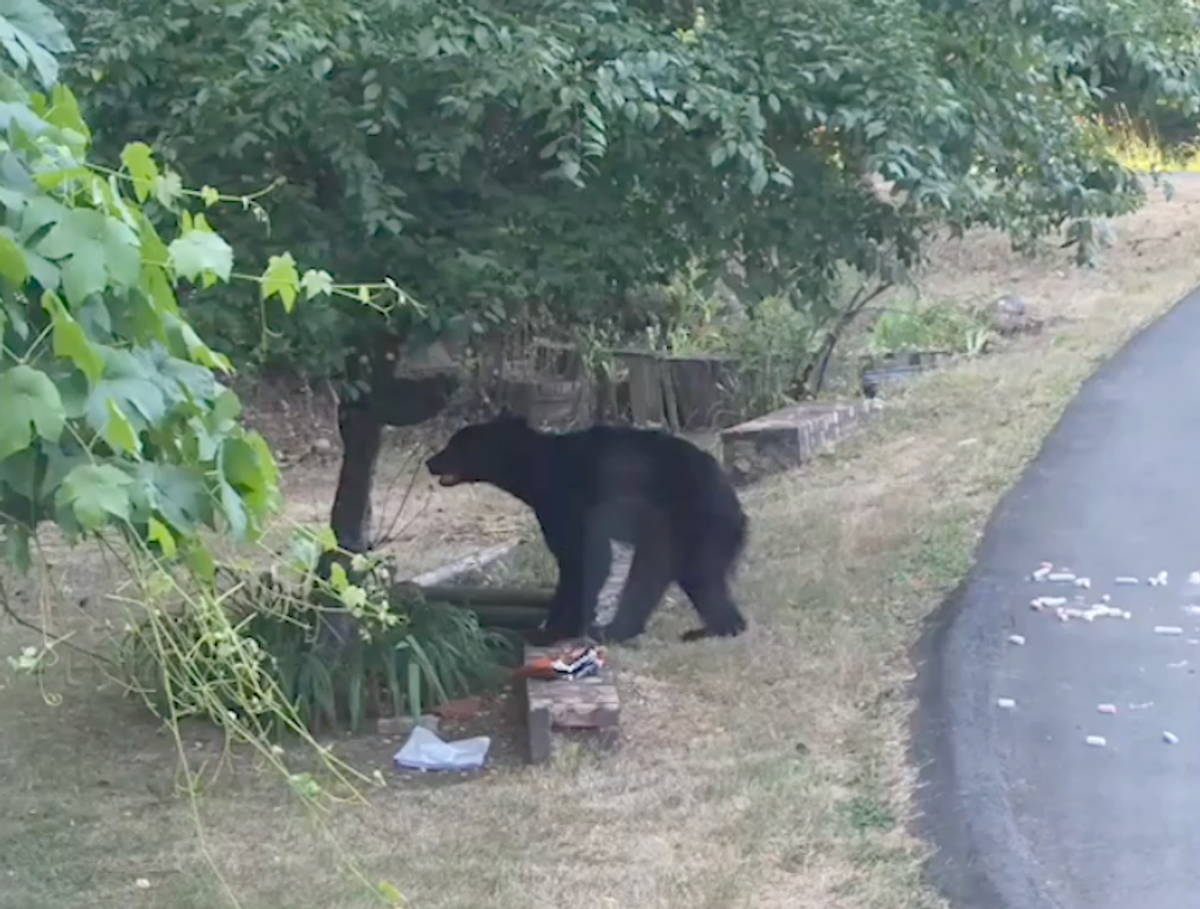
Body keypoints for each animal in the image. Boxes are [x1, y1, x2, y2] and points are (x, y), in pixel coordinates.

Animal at [425, 410, 749, 645]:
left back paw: (616, 630)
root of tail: (735, 506)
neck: (534, 469)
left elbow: (579, 559)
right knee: (701, 581)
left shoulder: (564, 504)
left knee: (655, 576)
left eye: (453, 446)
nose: (429, 461)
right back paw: (713, 629)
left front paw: (549, 632)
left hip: (684, 524)